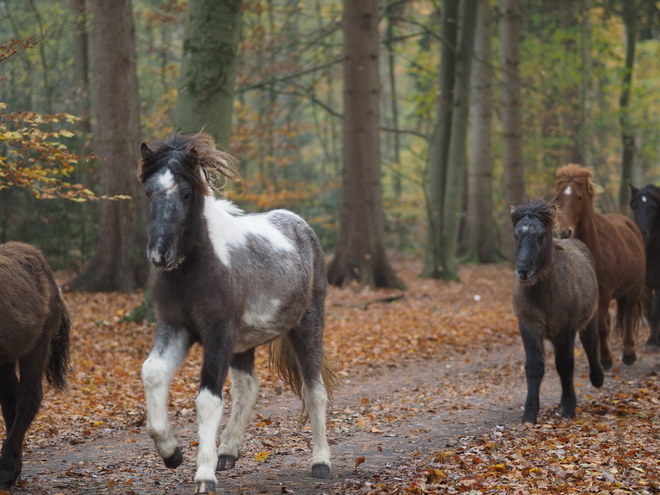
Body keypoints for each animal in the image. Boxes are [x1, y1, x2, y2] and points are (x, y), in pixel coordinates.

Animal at [137, 134, 338, 494]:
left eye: (186, 193)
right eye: (149, 191)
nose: (160, 254)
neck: (195, 268)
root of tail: (301, 226)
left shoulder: (218, 332)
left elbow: (207, 400)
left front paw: (204, 476)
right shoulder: (175, 327)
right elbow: (153, 373)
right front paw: (172, 453)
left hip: (307, 326)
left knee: (314, 390)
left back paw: (320, 462)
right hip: (243, 343)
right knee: (248, 387)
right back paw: (228, 452)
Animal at [510, 200, 604, 424]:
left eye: (541, 235)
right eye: (516, 235)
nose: (523, 271)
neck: (545, 295)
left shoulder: (565, 328)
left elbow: (565, 364)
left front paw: (569, 408)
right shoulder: (529, 324)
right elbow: (535, 366)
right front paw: (529, 414)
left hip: (590, 318)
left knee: (590, 343)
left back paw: (597, 378)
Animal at [556, 165, 644, 370]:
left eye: (579, 197)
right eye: (558, 198)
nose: (564, 232)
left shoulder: (603, 294)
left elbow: (602, 328)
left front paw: (605, 360)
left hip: (634, 288)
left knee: (629, 316)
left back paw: (629, 354)